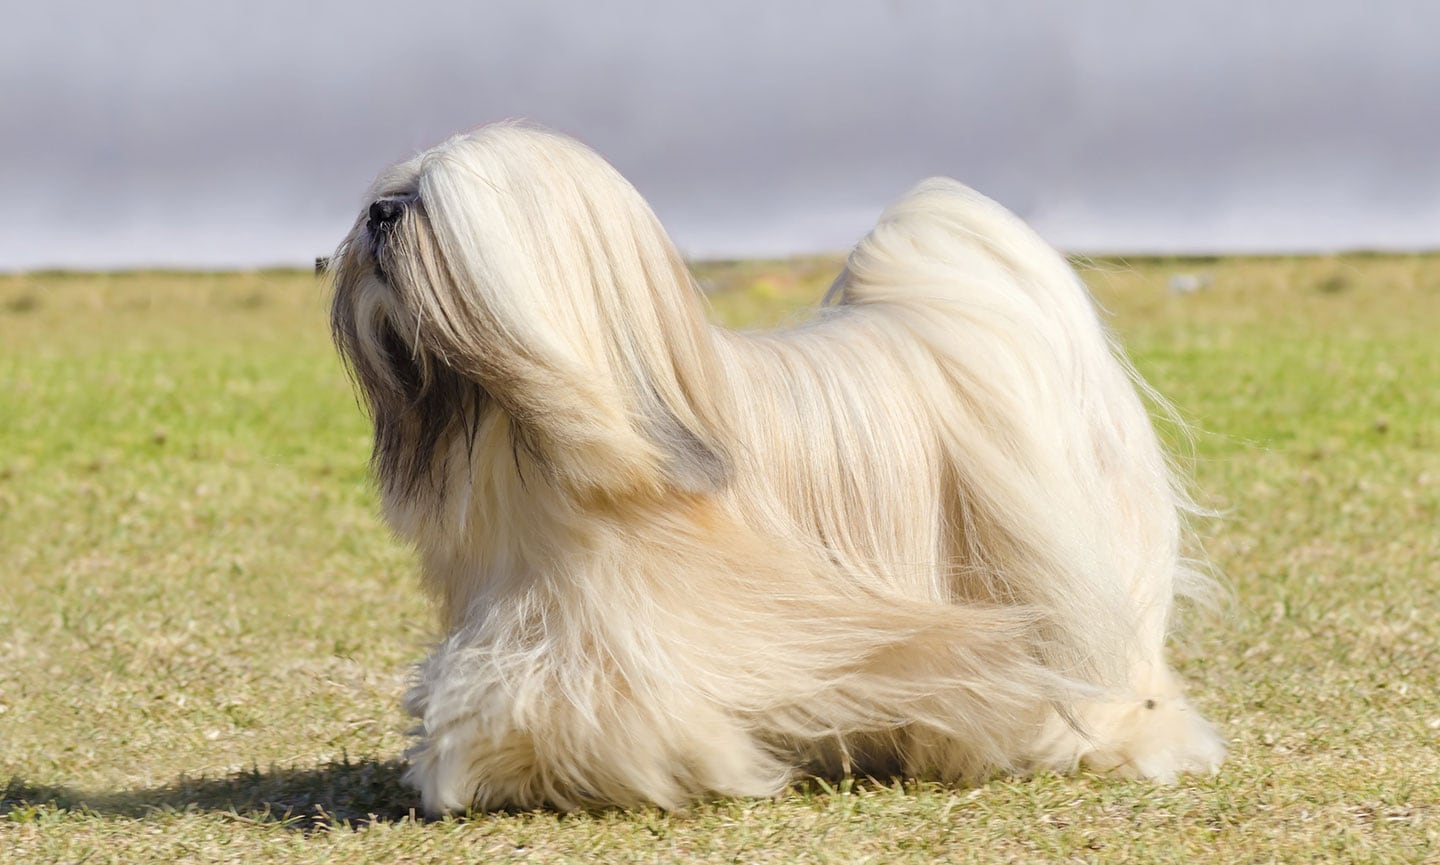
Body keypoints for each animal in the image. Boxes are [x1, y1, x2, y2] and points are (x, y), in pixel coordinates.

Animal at [329, 123, 1226, 817]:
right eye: (392, 190)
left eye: (430, 203)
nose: (376, 212)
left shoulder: (625, 627)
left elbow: (545, 697)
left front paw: (481, 761)